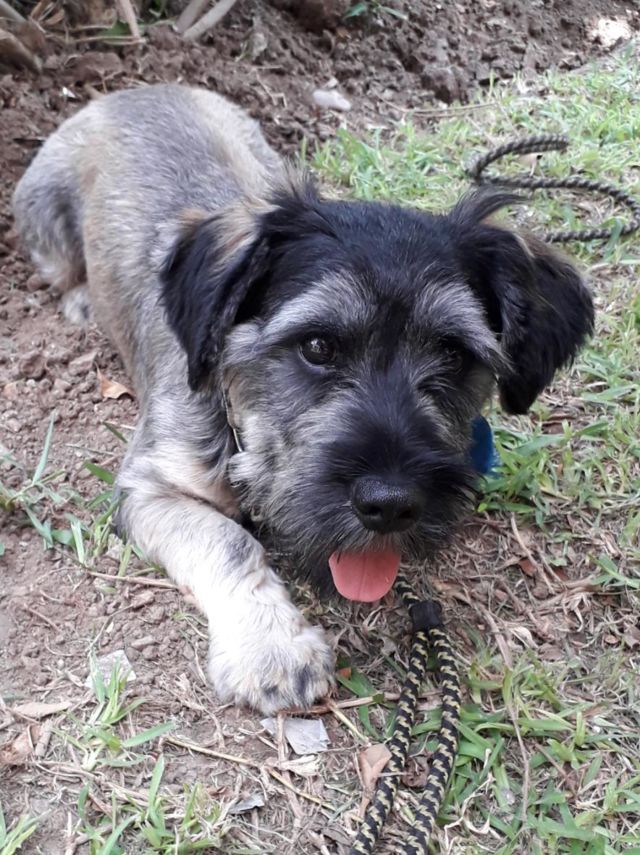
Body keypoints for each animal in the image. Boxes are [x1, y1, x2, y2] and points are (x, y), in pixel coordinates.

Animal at [12, 84, 594, 713]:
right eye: (317, 345)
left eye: (453, 353)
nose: (390, 505)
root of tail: (134, 89)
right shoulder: (151, 487)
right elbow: (230, 541)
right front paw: (271, 648)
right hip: (44, 221)